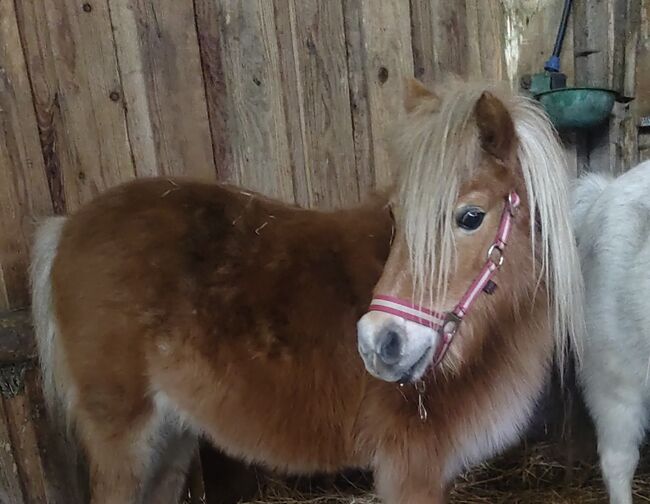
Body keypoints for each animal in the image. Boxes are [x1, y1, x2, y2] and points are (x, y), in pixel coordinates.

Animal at [30, 77, 584, 504]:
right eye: (396, 216)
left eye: (470, 217)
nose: (378, 343)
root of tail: (66, 227)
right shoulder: (410, 471)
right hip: (122, 439)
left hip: (170, 440)